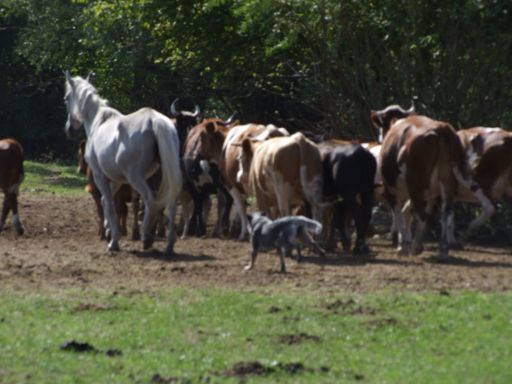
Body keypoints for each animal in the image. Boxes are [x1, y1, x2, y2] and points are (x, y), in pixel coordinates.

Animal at [65, 73, 182, 255]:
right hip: (166, 175)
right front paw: (108, 231)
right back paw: (169, 244)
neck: (98, 121)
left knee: (150, 199)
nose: (69, 128)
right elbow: (106, 202)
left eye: (66, 98)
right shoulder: (116, 180)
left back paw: (146, 237)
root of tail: (153, 120)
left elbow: (109, 205)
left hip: (136, 178)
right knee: (170, 202)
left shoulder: (100, 176)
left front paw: (113, 240)